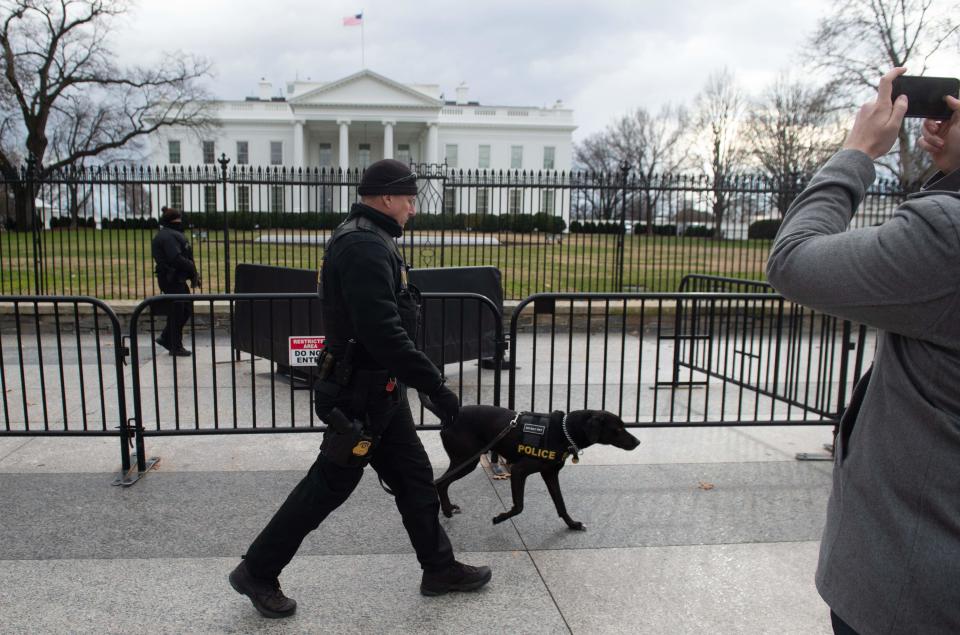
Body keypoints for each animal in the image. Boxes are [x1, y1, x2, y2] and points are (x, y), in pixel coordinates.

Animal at [438, 408, 640, 532]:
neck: (563, 432)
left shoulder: (550, 474)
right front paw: (500, 517)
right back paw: (446, 510)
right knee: (440, 482)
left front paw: (572, 524)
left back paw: (447, 509)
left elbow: (561, 504)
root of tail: (448, 419)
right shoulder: (519, 471)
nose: (638, 442)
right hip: (466, 461)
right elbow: (519, 506)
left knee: (441, 483)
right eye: (618, 429)